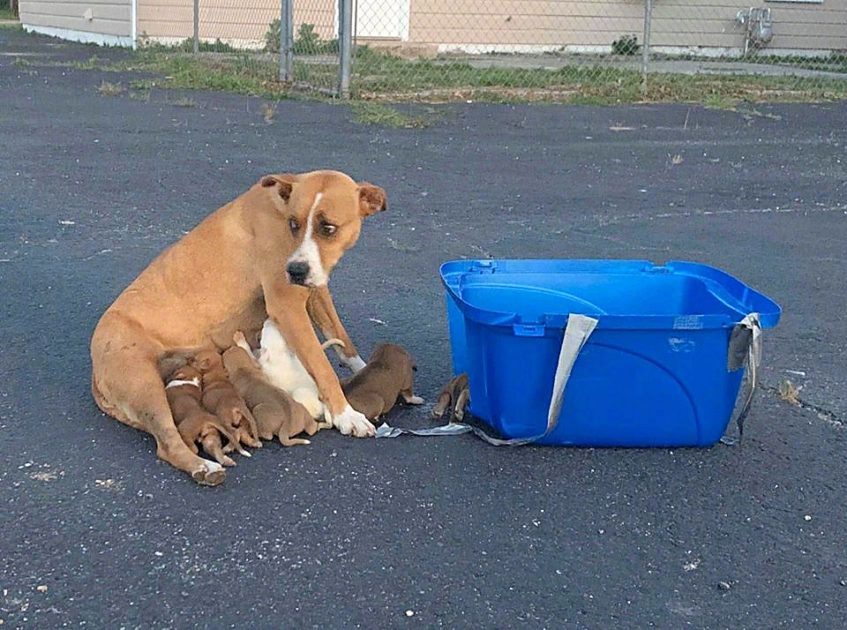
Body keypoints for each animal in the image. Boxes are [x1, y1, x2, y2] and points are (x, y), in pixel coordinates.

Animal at [89, 170, 388, 486]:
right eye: (293, 224)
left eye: (328, 228)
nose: (294, 271)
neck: (279, 206)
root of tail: (95, 372)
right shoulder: (287, 305)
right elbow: (322, 367)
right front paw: (347, 415)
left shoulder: (315, 290)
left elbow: (341, 339)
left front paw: (367, 372)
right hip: (145, 386)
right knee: (168, 442)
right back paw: (204, 467)